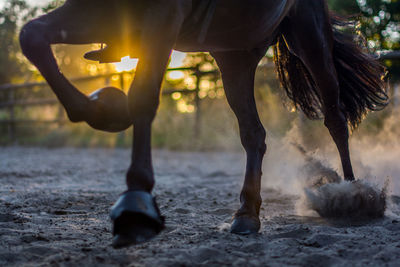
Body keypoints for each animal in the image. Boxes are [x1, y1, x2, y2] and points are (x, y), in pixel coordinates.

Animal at [19, 0, 388, 249]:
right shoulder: (96, 9)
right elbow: (31, 36)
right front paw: (103, 111)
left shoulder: (162, 17)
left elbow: (142, 95)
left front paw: (135, 202)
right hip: (234, 54)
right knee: (254, 134)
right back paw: (246, 214)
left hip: (308, 36)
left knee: (335, 118)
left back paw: (353, 196)